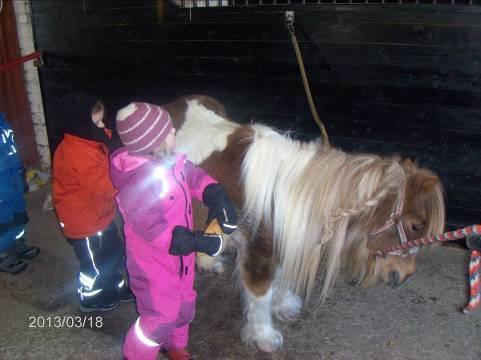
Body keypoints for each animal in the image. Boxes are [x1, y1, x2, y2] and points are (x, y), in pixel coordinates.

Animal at [164, 94, 442, 352]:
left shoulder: (287, 238)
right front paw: (264, 337)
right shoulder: (258, 250)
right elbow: (261, 291)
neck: (285, 193)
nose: (404, 275)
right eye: (416, 226)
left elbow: (280, 278)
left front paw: (284, 305)